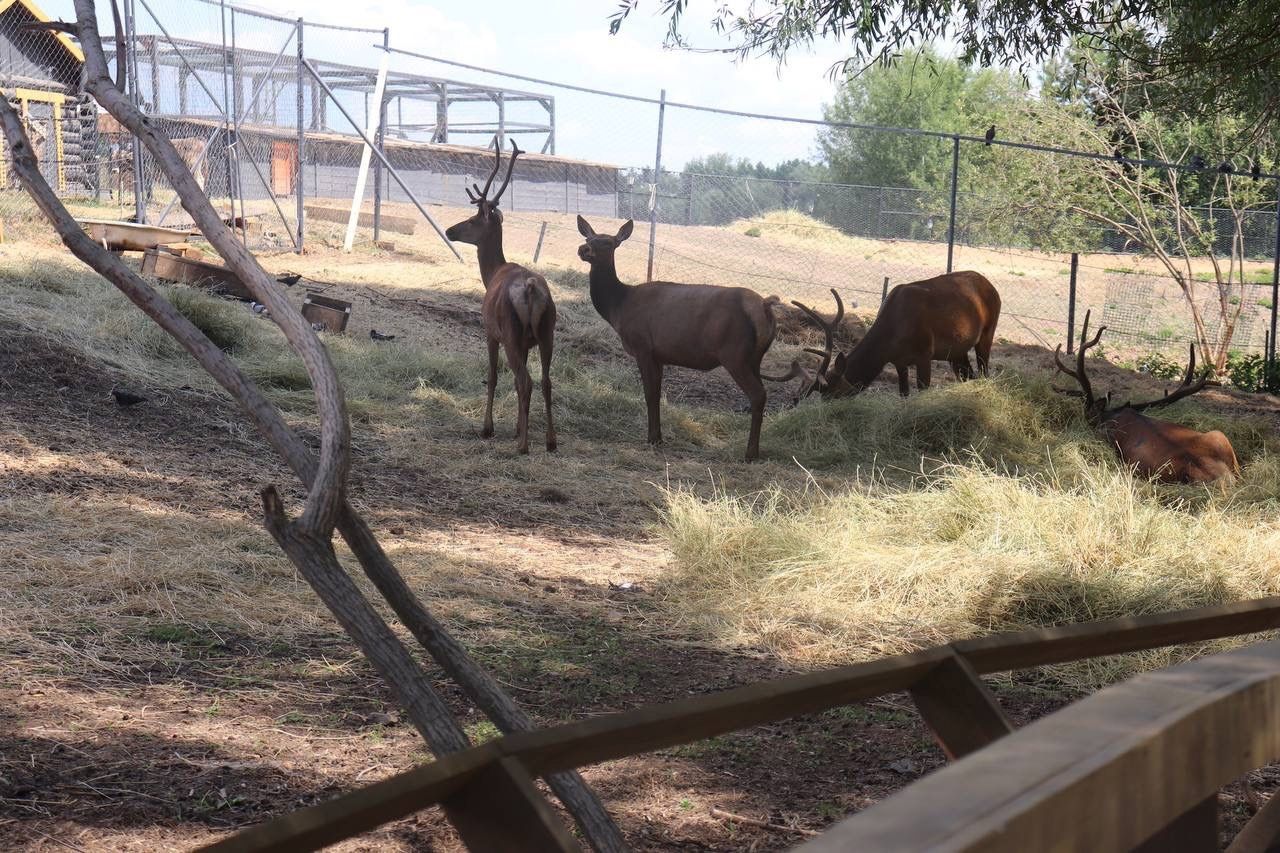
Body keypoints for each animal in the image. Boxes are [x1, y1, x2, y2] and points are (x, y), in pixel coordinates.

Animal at [445, 140, 555, 455]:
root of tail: (530, 288)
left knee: (525, 380)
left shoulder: (489, 332)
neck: (492, 273)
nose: (449, 230)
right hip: (547, 331)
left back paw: (523, 446)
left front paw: (488, 428)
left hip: (510, 332)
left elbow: (492, 377)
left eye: (472, 220)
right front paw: (517, 426)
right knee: (545, 381)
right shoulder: (528, 342)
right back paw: (550, 441)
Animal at [576, 216, 793, 461]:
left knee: (758, 394)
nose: (583, 249)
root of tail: (764, 308)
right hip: (755, 358)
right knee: (761, 393)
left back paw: (750, 453)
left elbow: (649, 394)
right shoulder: (658, 355)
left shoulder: (642, 346)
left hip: (734, 353)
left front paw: (652, 438)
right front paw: (658, 437)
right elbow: (657, 393)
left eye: (609, 243)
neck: (618, 308)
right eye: (589, 238)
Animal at [783, 268, 1003, 399]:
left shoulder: (925, 354)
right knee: (969, 375)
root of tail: (991, 286)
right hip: (956, 351)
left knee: (984, 371)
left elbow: (923, 390)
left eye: (836, 394)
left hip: (987, 332)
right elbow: (904, 393)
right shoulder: (899, 362)